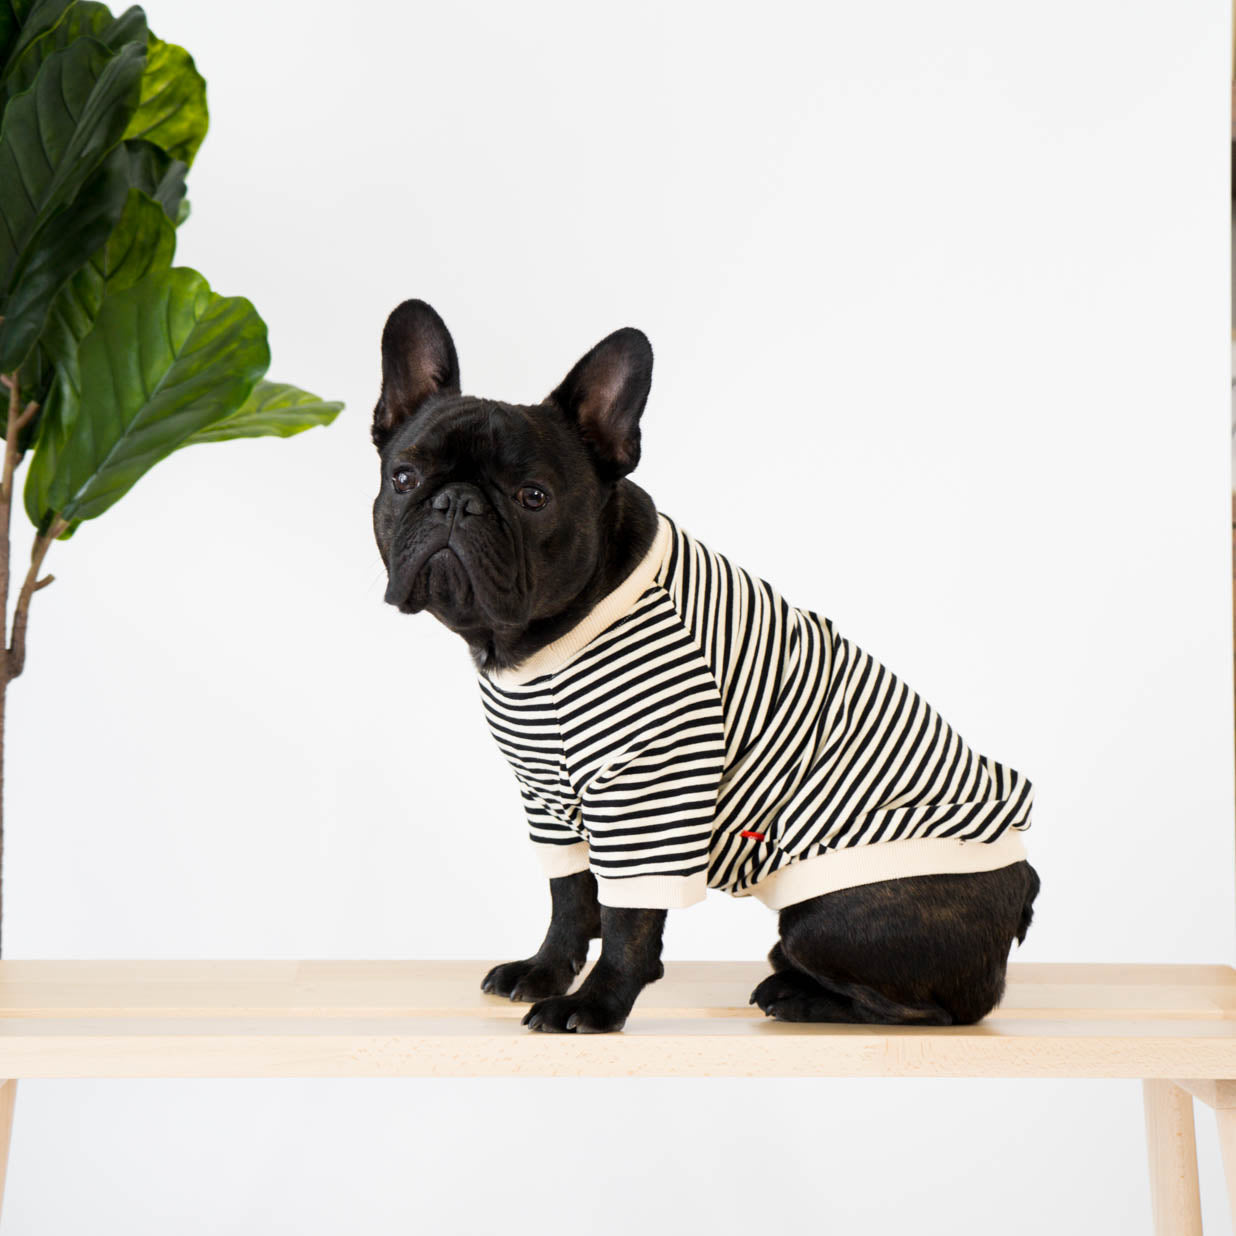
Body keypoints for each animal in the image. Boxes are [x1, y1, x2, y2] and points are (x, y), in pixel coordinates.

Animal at [370, 299, 1038, 1033]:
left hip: (828, 915)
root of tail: (1022, 888)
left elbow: (627, 920)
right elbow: (569, 896)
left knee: (939, 1009)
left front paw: (596, 1004)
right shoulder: (548, 797)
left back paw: (800, 998)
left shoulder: (648, 792)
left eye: (532, 497)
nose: (454, 502)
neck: (532, 645)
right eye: (403, 478)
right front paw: (544, 971)